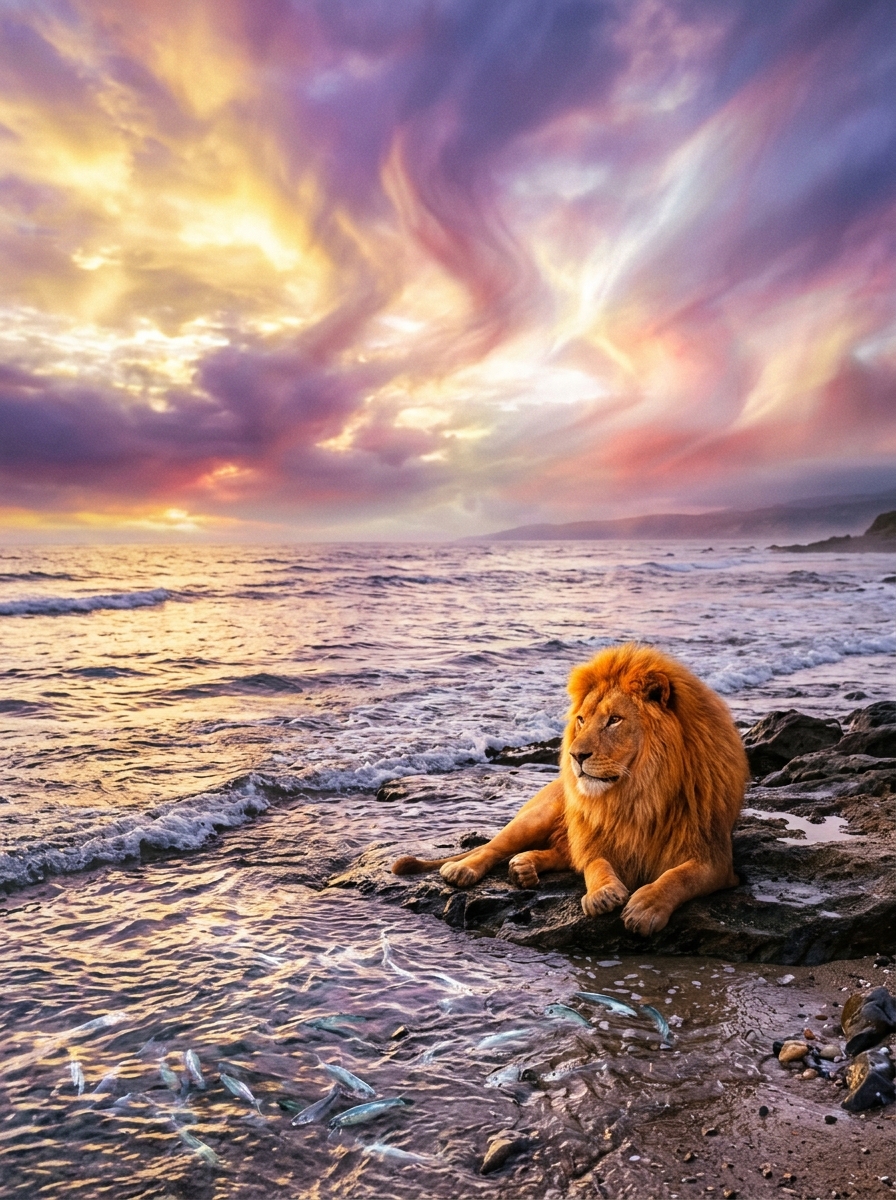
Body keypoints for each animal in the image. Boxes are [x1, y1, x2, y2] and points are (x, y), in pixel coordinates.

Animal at [392, 643, 748, 935]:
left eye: (614, 720)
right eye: (581, 719)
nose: (576, 755)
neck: (639, 792)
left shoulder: (714, 857)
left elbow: (679, 876)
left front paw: (646, 907)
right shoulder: (596, 837)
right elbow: (595, 864)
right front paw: (602, 894)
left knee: (557, 853)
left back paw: (524, 868)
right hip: (539, 815)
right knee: (493, 846)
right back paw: (465, 869)